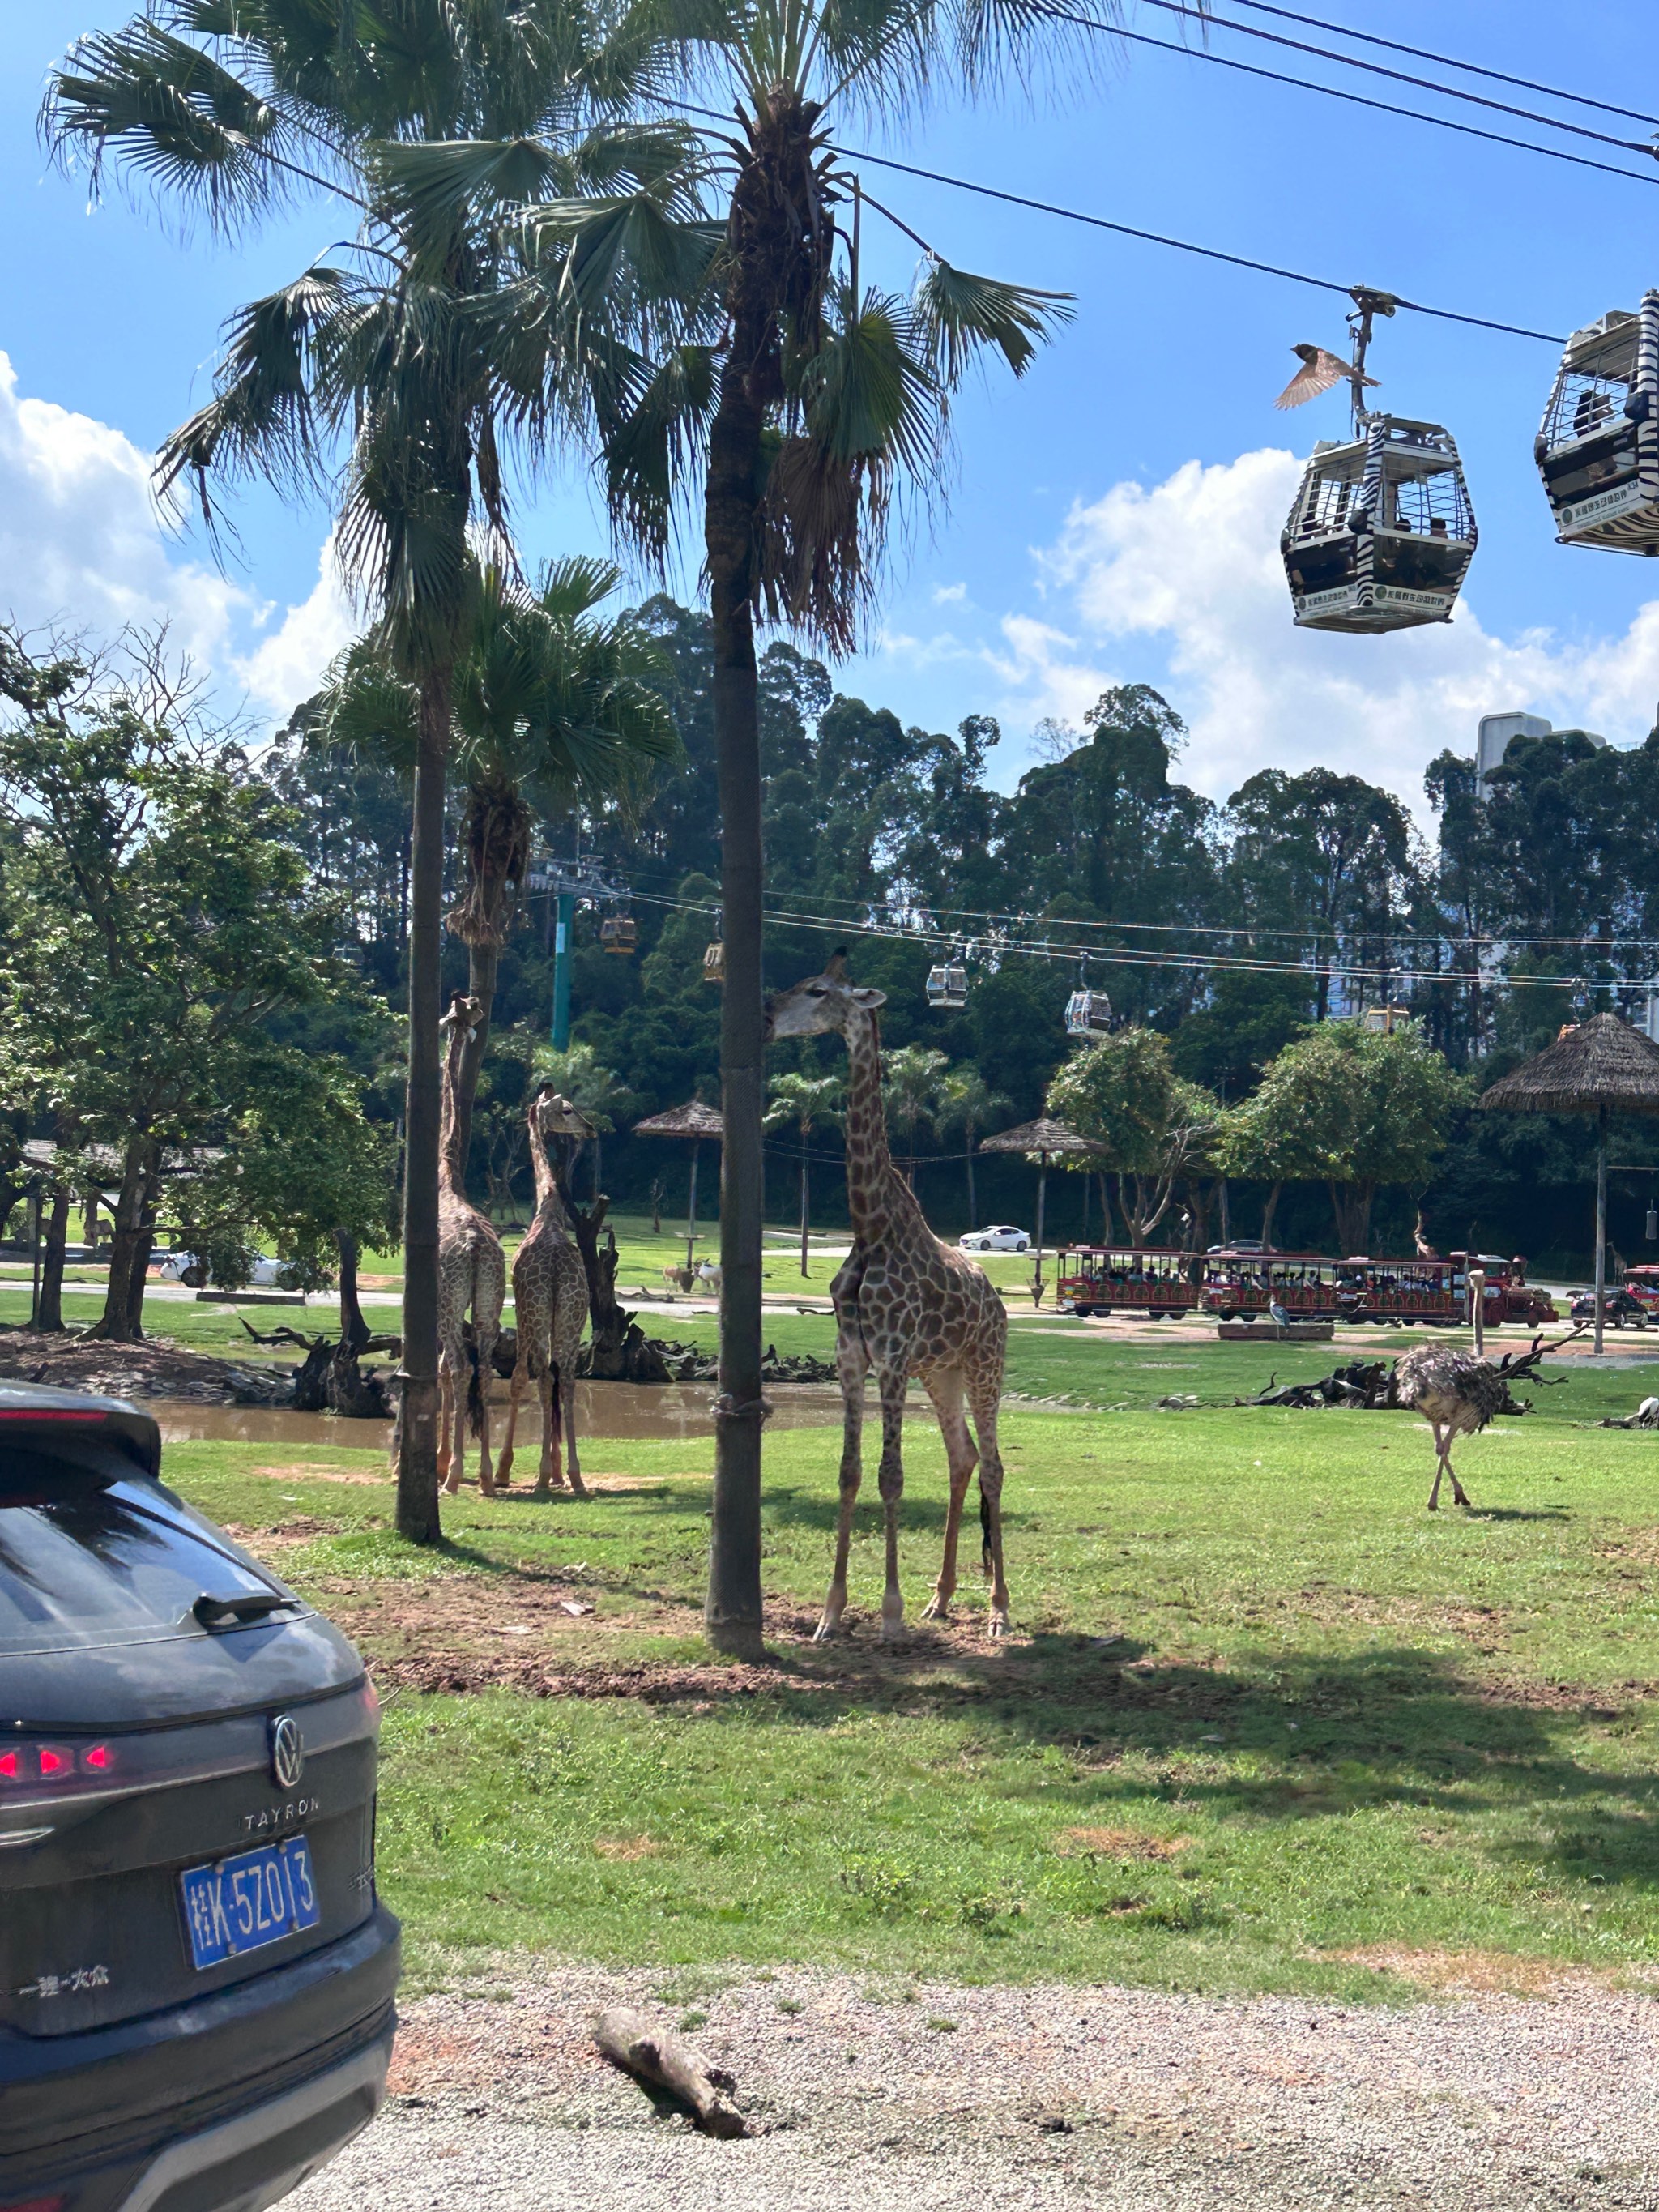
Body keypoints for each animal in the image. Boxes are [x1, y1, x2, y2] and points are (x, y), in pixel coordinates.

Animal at [765, 950, 1013, 1646]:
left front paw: (891, 1615)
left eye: (817, 990)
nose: (765, 1014)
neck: (870, 1224)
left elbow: (891, 1476)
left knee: (993, 1466)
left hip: (984, 1367)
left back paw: (999, 1609)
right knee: (962, 1458)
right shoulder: (852, 1354)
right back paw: (944, 1597)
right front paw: (830, 1613)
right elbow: (850, 1473)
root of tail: (1001, 1305)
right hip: (944, 1373)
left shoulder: (895, 1356)